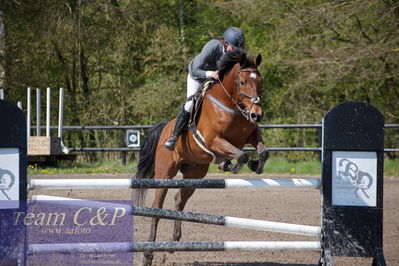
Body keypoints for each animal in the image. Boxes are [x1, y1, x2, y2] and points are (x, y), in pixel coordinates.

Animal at [136, 49, 270, 264]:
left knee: (179, 200)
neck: (231, 105)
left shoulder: (251, 134)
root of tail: (165, 127)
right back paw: (148, 254)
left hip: (195, 174)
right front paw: (231, 166)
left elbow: (263, 151)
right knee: (157, 208)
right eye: (242, 82)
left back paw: (173, 243)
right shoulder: (213, 140)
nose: (257, 114)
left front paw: (254, 165)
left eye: (260, 81)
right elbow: (241, 156)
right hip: (165, 173)